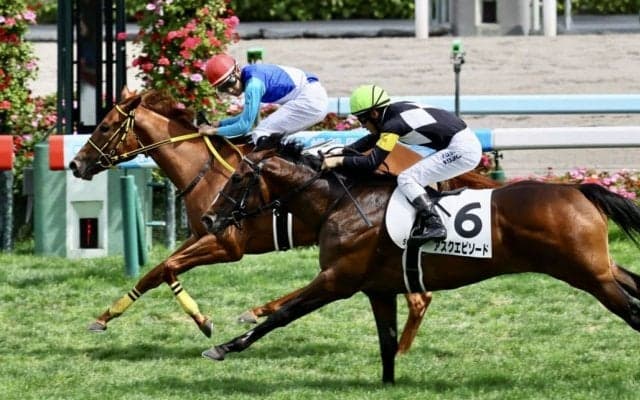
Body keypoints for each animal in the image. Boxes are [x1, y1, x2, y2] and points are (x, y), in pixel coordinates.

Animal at [69, 88, 497, 351]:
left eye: (104, 126)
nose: (75, 164)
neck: (206, 171)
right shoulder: (204, 230)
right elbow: (155, 272)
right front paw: (104, 318)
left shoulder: (226, 244)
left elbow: (170, 267)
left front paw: (204, 321)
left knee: (418, 296)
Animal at [200, 134, 640, 384]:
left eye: (237, 178)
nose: (209, 218)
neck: (341, 203)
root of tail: (580, 190)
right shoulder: (378, 289)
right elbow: (386, 341)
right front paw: (388, 384)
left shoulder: (337, 280)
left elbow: (282, 314)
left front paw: (223, 347)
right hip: (600, 268)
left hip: (588, 275)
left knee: (633, 313)